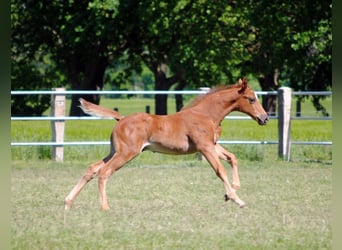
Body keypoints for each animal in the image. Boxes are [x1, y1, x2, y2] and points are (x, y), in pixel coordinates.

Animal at [63, 78, 268, 211]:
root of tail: (121, 118)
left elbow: (233, 158)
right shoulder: (205, 147)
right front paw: (237, 200)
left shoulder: (212, 145)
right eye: (252, 99)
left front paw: (231, 192)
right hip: (126, 153)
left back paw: (67, 202)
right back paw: (105, 207)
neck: (206, 114)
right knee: (105, 172)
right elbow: (220, 171)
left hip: (115, 151)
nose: (264, 118)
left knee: (92, 169)